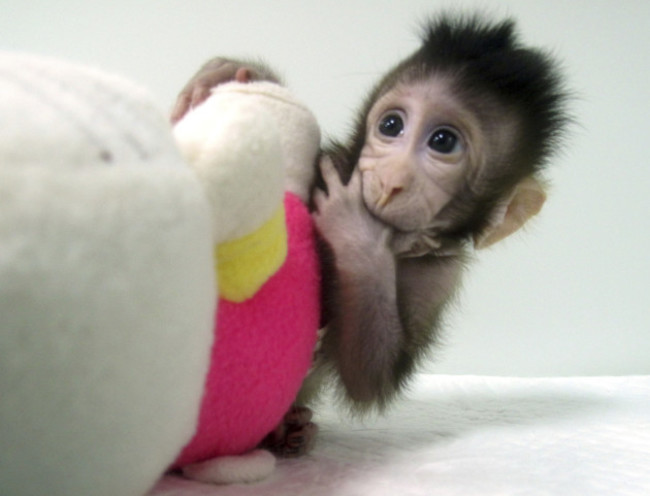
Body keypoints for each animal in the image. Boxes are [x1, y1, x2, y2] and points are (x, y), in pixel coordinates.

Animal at [171, 13, 569, 456]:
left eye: (443, 142)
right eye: (391, 125)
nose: (392, 180)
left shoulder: (441, 274)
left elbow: (369, 379)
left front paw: (357, 235)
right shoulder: (334, 162)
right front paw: (233, 71)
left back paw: (287, 431)